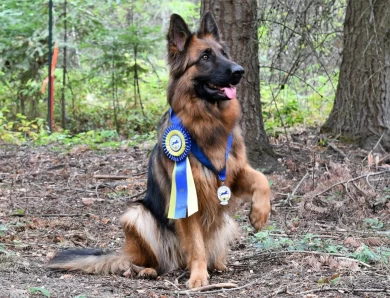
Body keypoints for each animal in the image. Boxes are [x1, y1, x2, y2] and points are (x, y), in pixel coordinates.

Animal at [48, 12, 272, 288]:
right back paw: (147, 270)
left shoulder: (230, 175)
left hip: (224, 223)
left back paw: (218, 263)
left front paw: (260, 214)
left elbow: (262, 178)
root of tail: (176, 261)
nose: (240, 71)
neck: (207, 122)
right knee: (142, 261)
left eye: (223, 53)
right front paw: (199, 277)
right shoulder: (188, 199)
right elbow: (196, 245)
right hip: (137, 215)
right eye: (205, 57)